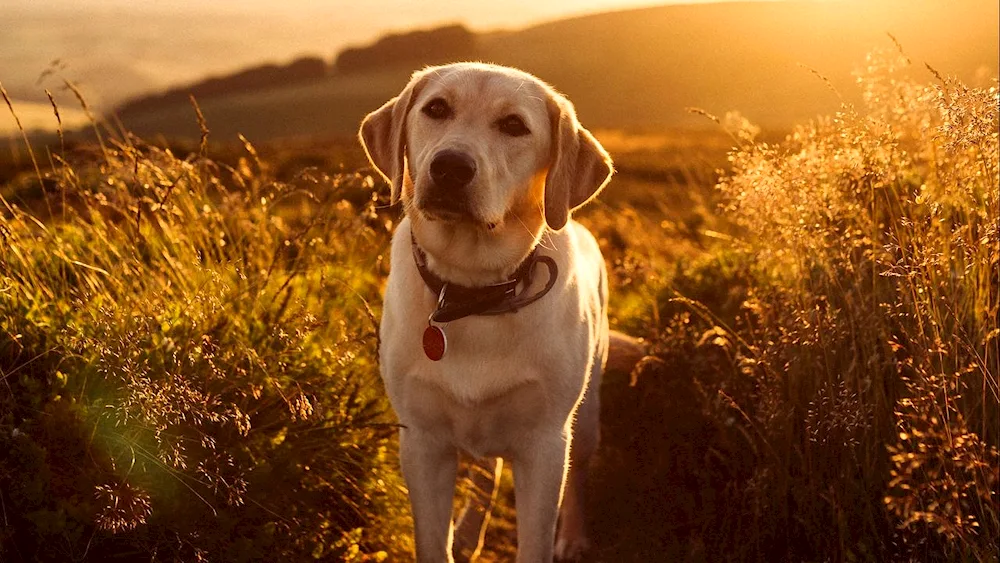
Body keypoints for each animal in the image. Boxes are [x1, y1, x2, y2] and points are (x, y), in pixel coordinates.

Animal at [360, 62, 608, 563]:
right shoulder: (422, 441)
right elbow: (433, 543)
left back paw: (573, 536)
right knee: (484, 476)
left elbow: (535, 541)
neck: (472, 291)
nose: (450, 166)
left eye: (514, 125)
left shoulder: (544, 445)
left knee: (578, 475)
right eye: (437, 108)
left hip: (587, 415)